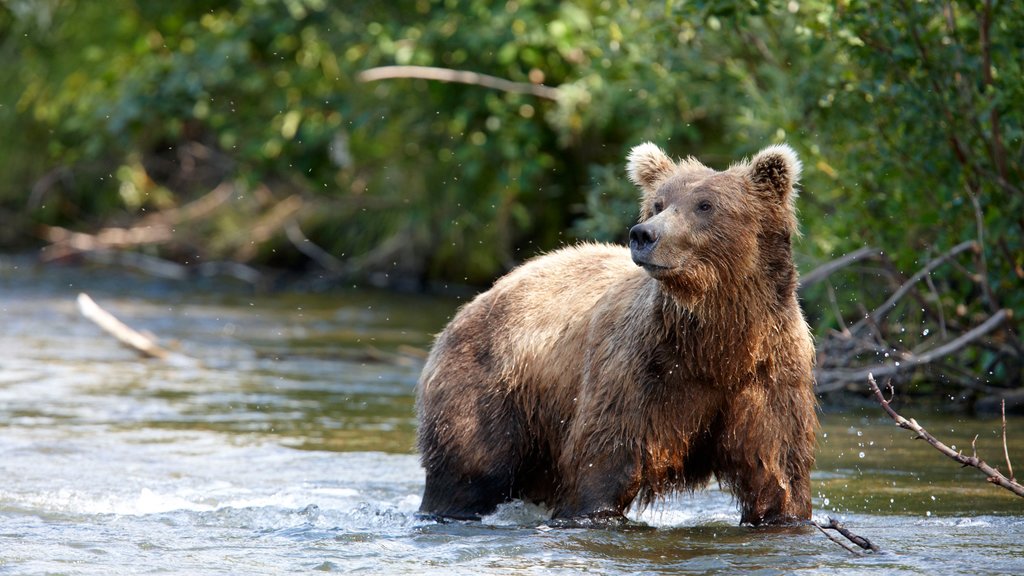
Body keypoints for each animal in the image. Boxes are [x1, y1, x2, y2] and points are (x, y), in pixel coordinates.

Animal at [413, 140, 815, 524]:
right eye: (658, 203)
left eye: (705, 205)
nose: (644, 235)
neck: (719, 344)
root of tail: (473, 303)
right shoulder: (641, 374)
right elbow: (603, 465)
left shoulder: (768, 376)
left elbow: (777, 473)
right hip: (491, 390)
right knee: (470, 470)